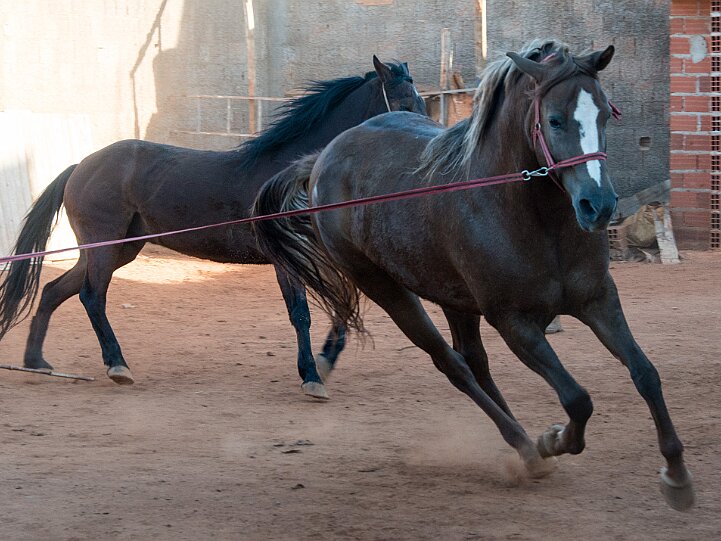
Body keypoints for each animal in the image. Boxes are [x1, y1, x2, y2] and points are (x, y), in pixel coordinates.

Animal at [0, 56, 426, 398]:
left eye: (422, 104)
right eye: (404, 104)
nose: (420, 145)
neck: (294, 176)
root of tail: (81, 166)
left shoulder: (324, 256)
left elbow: (341, 308)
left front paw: (322, 363)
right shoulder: (286, 261)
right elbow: (301, 314)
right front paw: (311, 377)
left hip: (121, 248)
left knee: (55, 290)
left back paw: (37, 361)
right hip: (104, 246)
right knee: (92, 296)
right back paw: (117, 365)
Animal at [252, 40, 695, 510]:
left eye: (605, 114)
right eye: (554, 120)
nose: (599, 206)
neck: (531, 217)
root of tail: (322, 159)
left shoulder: (598, 301)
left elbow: (645, 374)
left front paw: (677, 475)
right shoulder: (516, 323)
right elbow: (577, 399)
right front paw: (554, 438)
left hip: (455, 299)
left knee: (475, 363)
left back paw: (527, 445)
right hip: (389, 291)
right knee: (455, 367)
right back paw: (528, 450)